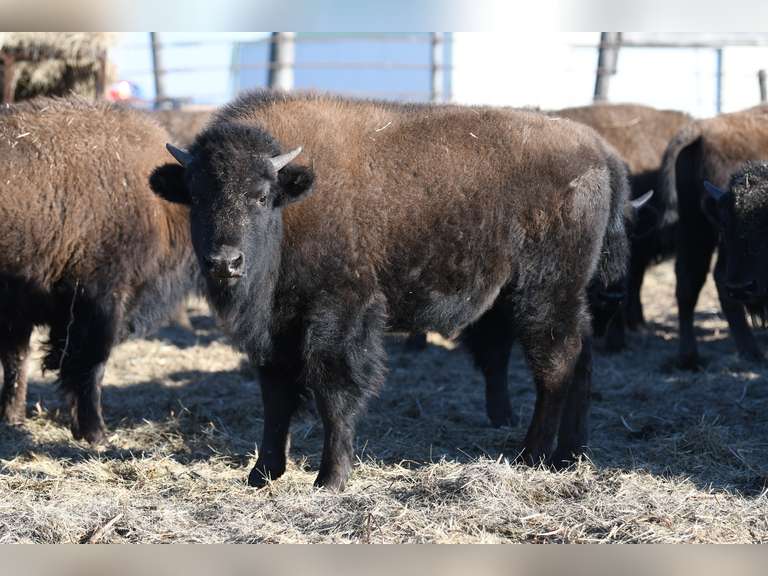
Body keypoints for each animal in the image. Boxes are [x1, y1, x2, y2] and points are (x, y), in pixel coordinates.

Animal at [0, 97, 198, 442]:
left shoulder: (19, 312)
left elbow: (18, 362)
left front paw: (12, 420)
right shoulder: (100, 300)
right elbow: (90, 364)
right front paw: (95, 432)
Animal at [151, 91, 631, 491]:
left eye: (261, 195)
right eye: (196, 195)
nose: (225, 262)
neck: (296, 201)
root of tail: (600, 152)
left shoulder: (338, 315)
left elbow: (334, 392)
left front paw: (330, 479)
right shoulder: (276, 329)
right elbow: (276, 395)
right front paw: (261, 474)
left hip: (543, 293)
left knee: (555, 366)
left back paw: (532, 455)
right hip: (567, 297)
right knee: (581, 359)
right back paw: (570, 455)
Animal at [662, 105, 768, 369]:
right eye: (727, 225)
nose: (743, 287)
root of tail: (699, 130)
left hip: (693, 226)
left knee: (688, 280)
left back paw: (688, 357)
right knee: (718, 278)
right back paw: (751, 352)